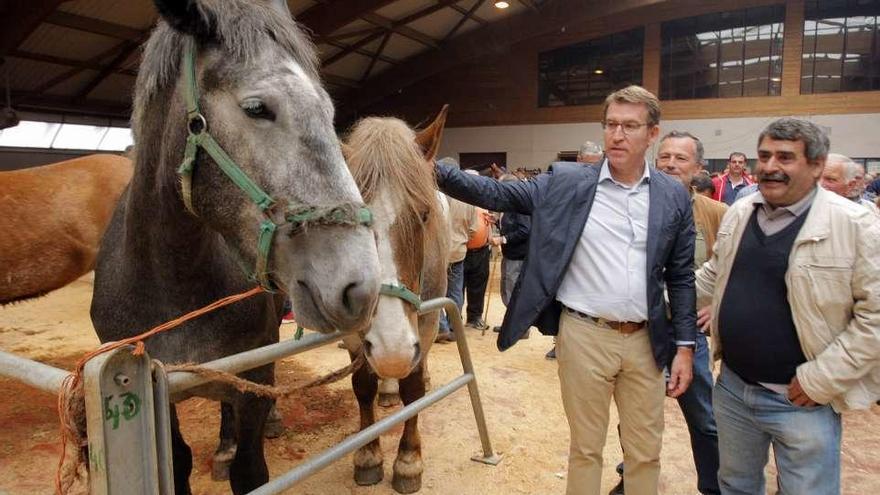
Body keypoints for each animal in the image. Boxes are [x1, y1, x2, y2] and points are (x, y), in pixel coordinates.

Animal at [91, 1, 380, 494]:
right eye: (257, 108)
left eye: (327, 111)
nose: (358, 286)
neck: (172, 280)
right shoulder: (156, 395)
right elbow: (179, 463)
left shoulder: (252, 375)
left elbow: (251, 470)